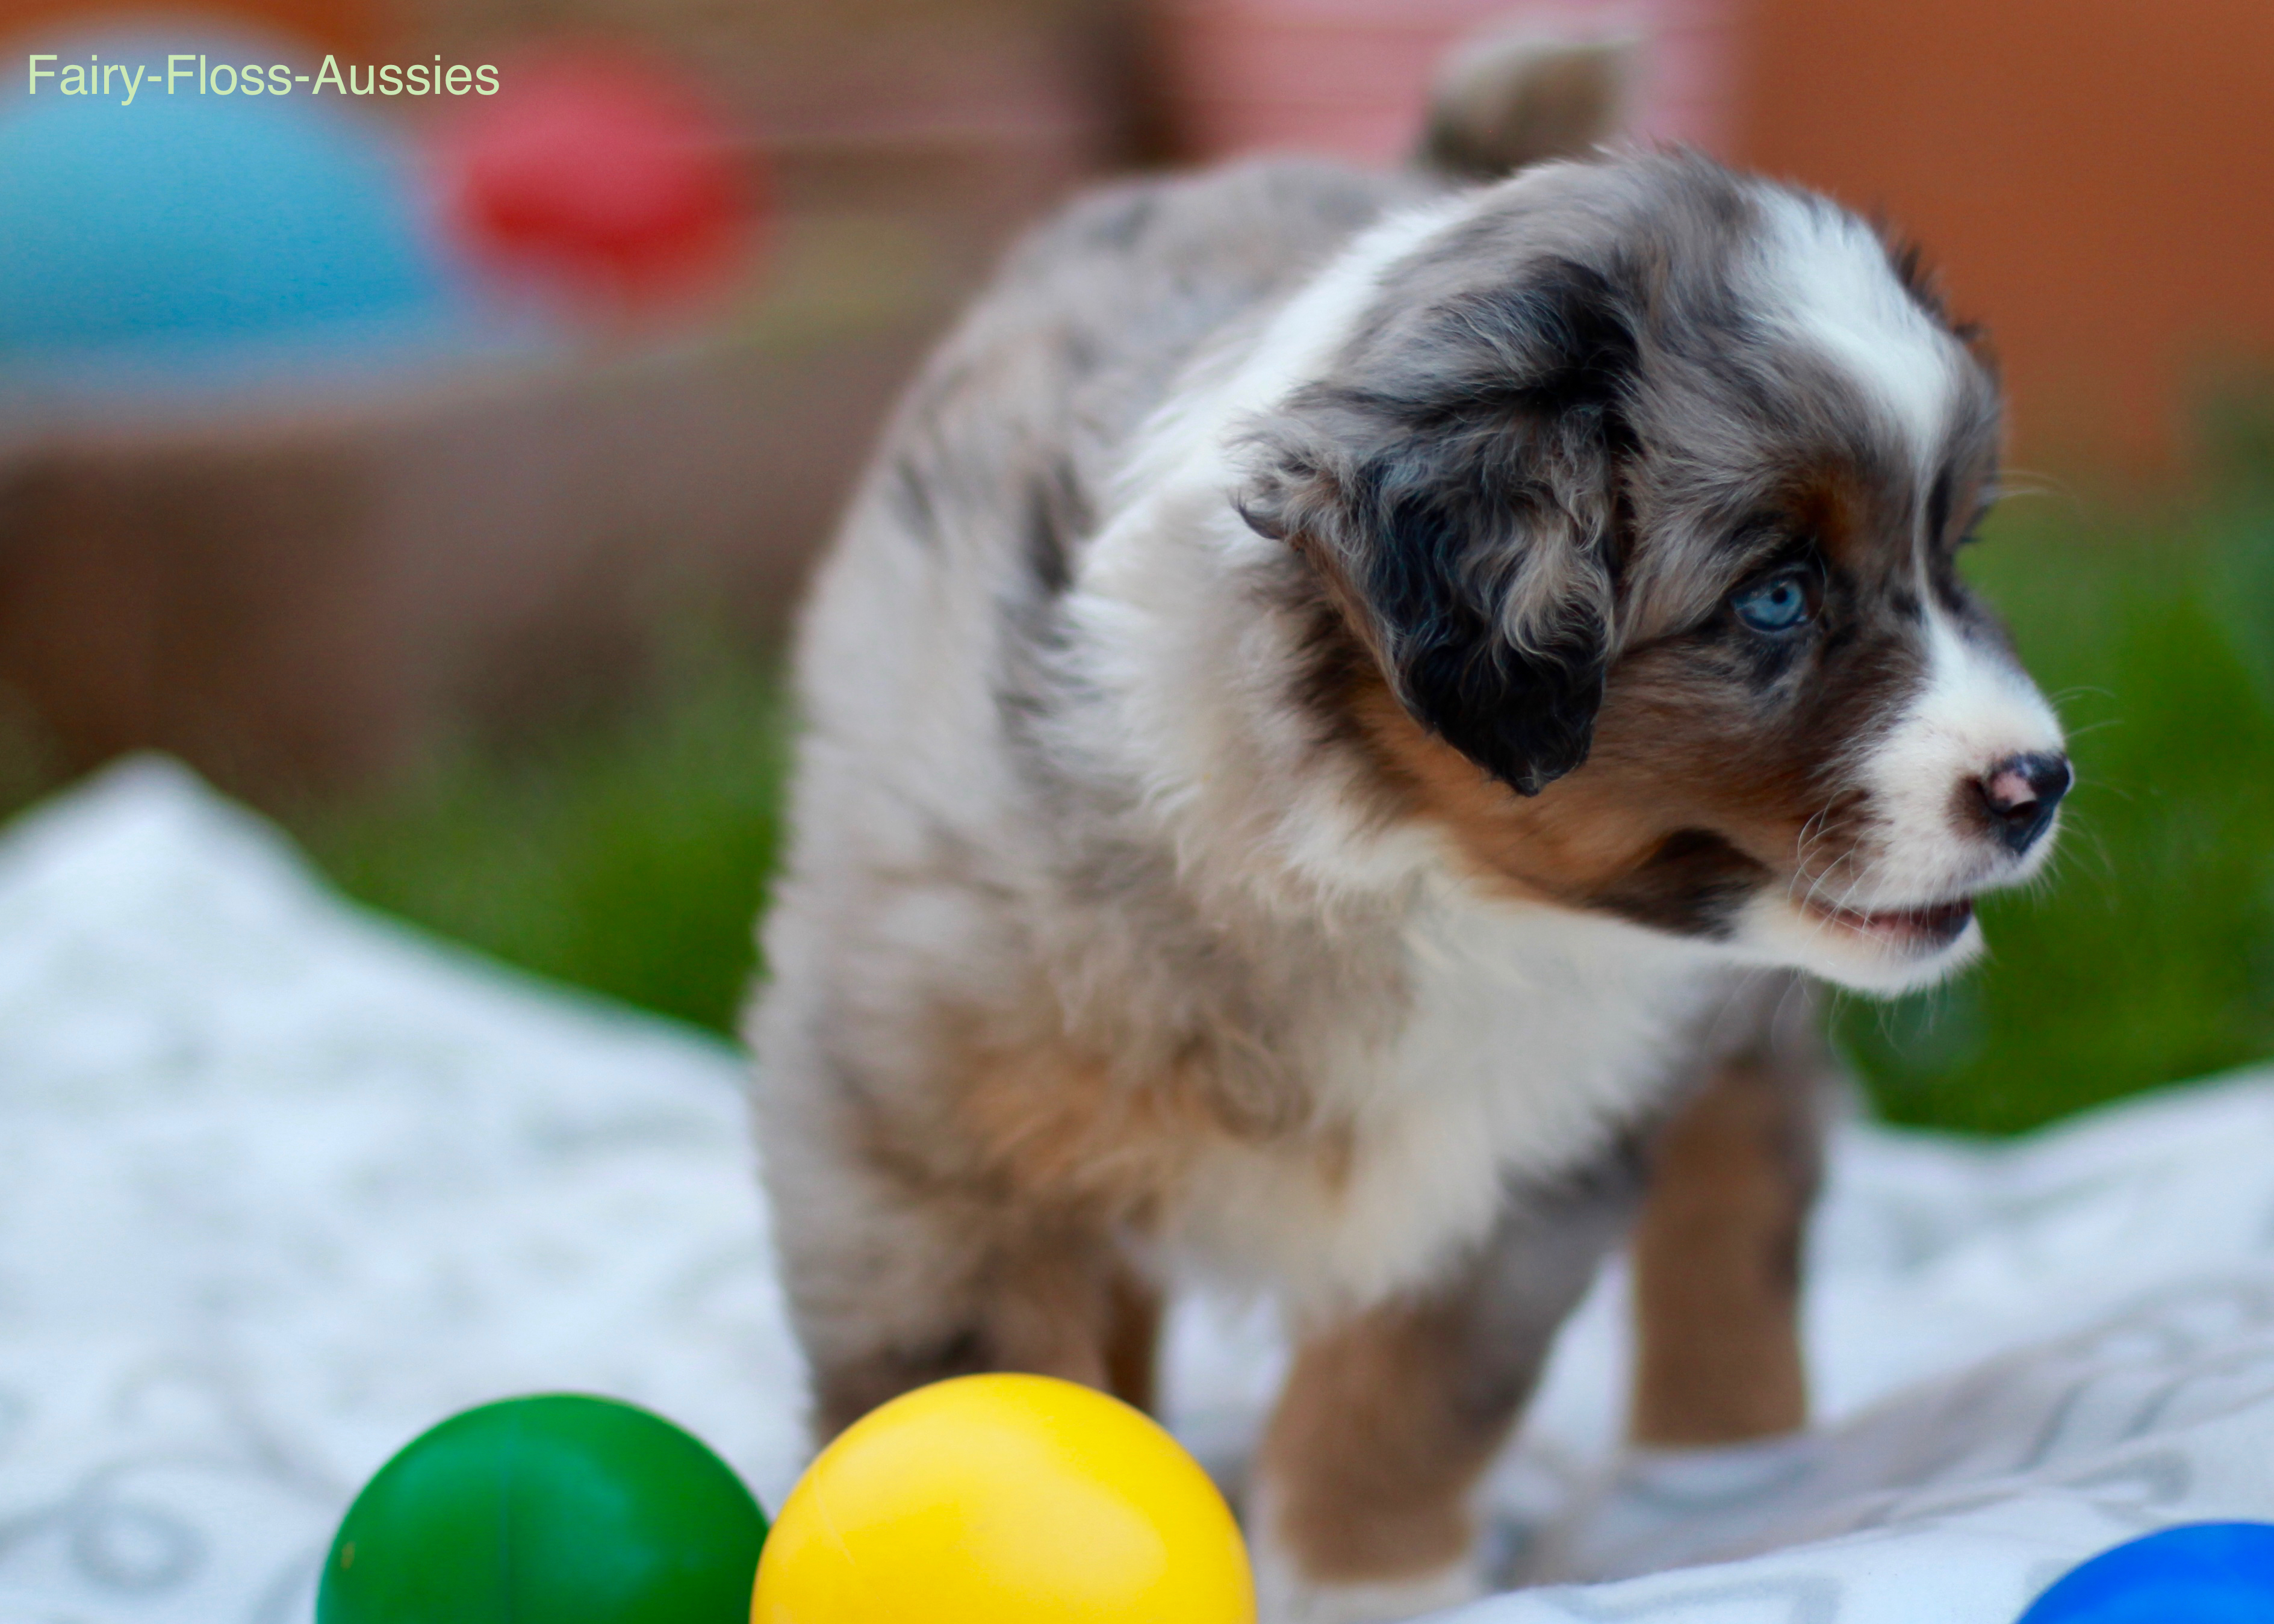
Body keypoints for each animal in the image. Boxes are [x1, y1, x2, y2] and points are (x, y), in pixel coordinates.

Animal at [745, 41, 2064, 1619]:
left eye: (1949, 551)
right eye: (1774, 596)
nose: (2037, 782)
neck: (1388, 868)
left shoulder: (1519, 1156)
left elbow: (1408, 1389)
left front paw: (1363, 1581)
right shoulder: (913, 1129)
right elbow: (969, 1387)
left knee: (1748, 1163)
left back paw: (1720, 1459)